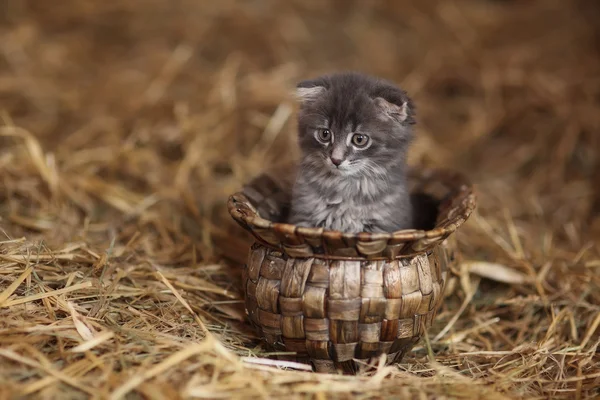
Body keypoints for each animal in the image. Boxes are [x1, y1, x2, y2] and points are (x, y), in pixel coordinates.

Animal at [288, 72, 414, 234]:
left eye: (359, 139)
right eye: (324, 134)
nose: (336, 159)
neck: (345, 188)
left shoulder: (384, 225)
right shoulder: (304, 215)